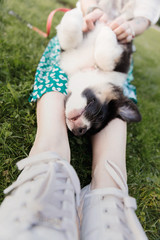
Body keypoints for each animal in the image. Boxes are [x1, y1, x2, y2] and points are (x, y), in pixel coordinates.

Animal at [56, 6, 141, 136]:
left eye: (100, 118)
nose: (79, 131)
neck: (89, 67)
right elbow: (70, 36)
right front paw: (76, 13)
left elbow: (103, 58)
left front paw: (107, 31)